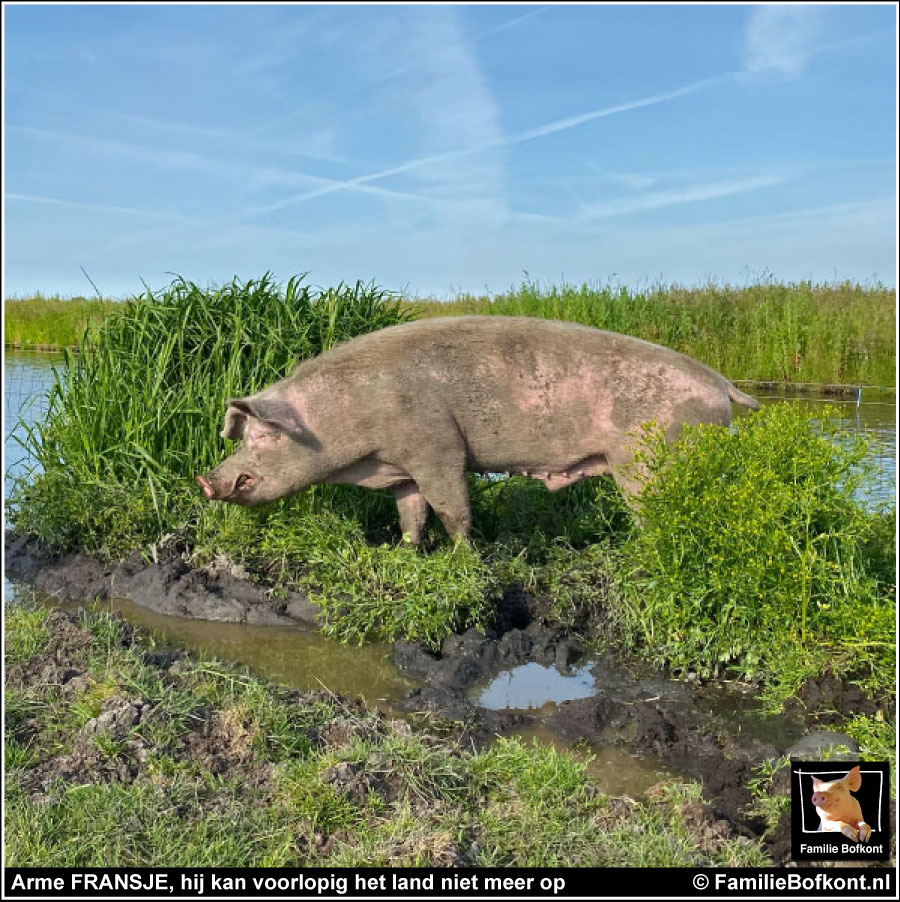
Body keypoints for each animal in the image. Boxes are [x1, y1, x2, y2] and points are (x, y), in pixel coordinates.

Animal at [195, 318, 760, 544]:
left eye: (263, 437)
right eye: (241, 438)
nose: (206, 480)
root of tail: (722, 384)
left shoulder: (436, 448)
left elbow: (453, 511)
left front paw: (463, 557)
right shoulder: (402, 467)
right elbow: (412, 515)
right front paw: (405, 553)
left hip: (651, 461)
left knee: (660, 514)